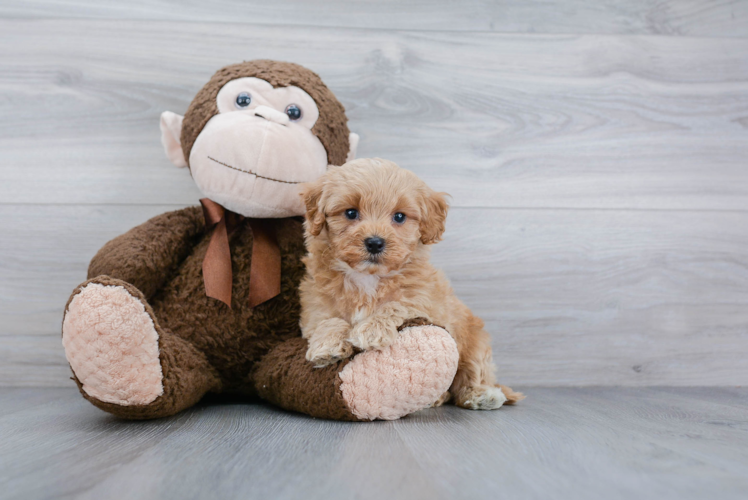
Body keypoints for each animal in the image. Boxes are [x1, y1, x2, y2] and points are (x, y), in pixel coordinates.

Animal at [296, 158, 520, 408]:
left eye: (400, 217)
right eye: (351, 213)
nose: (375, 243)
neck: (367, 277)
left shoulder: (425, 303)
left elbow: (397, 304)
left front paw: (372, 329)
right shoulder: (315, 306)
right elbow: (329, 320)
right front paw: (328, 345)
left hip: (475, 341)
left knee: (470, 374)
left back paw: (481, 394)